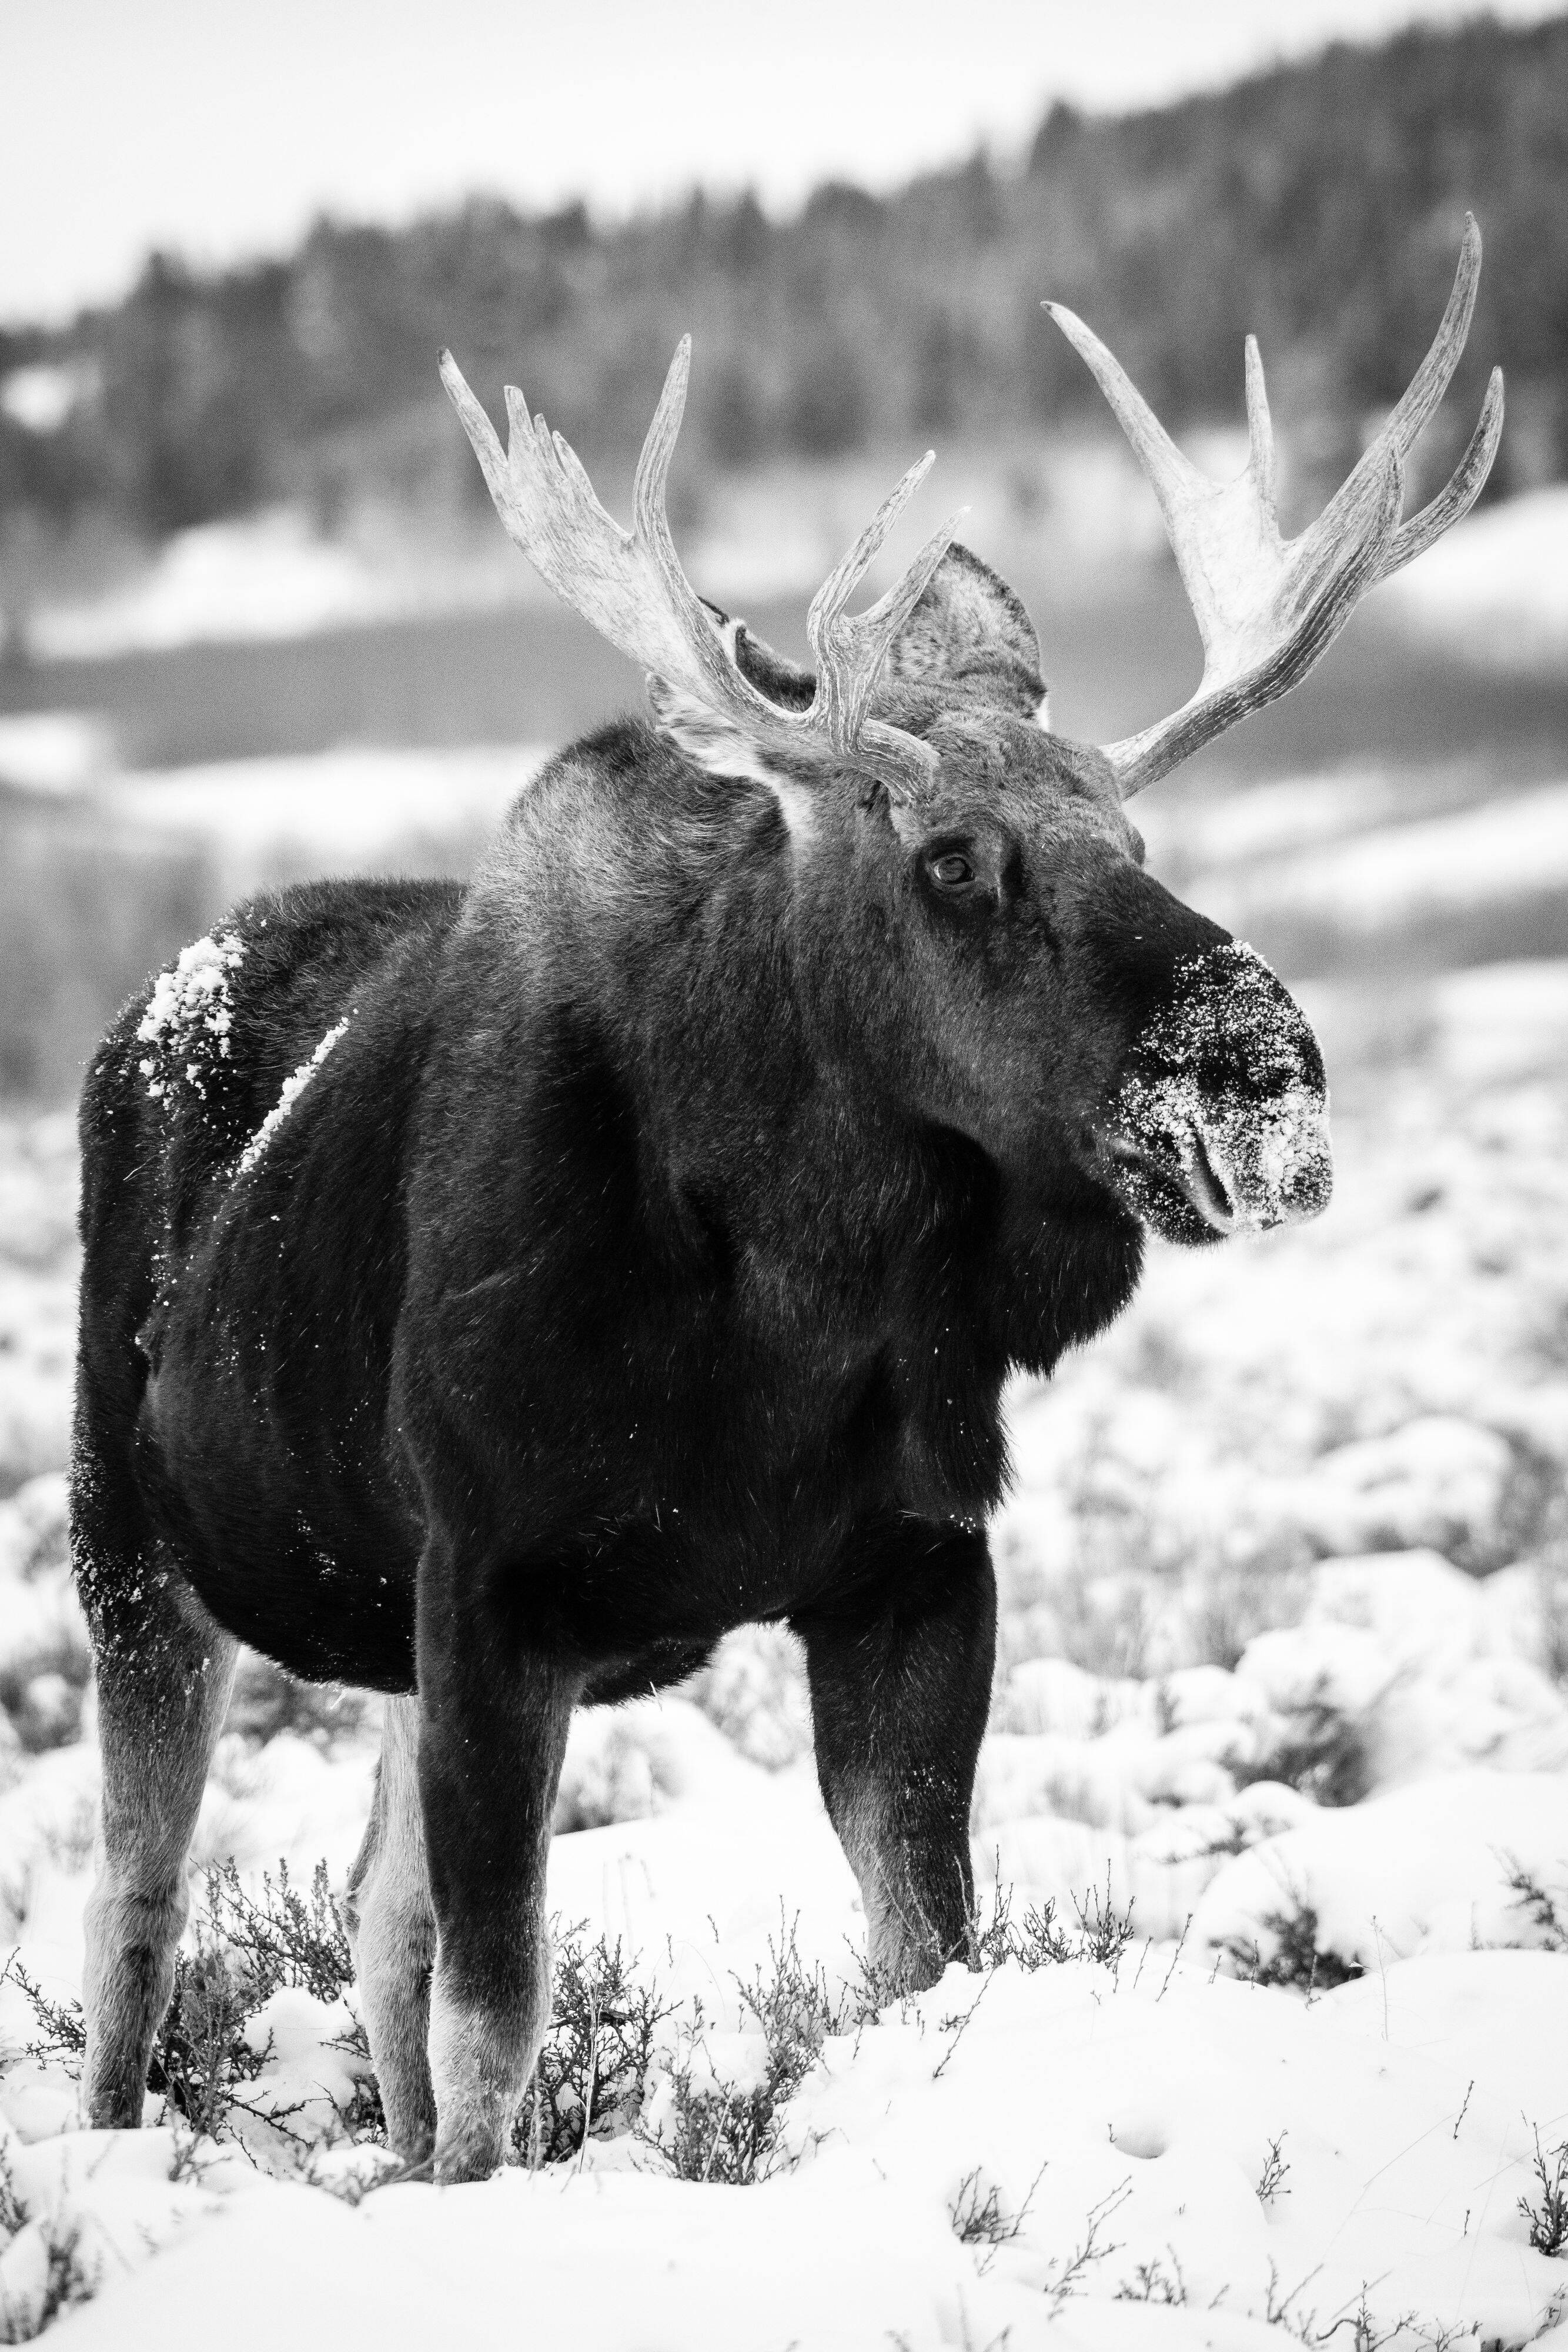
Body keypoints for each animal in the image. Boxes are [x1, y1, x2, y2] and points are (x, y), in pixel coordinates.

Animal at [73, 222, 1500, 2181]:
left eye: (1138, 846)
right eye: (953, 857)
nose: (1259, 1067)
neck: (792, 1316)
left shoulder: (912, 1569)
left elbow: (921, 1957)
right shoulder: (494, 1581)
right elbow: (497, 2023)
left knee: (365, 1916)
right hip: (133, 1555)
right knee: (134, 1920)